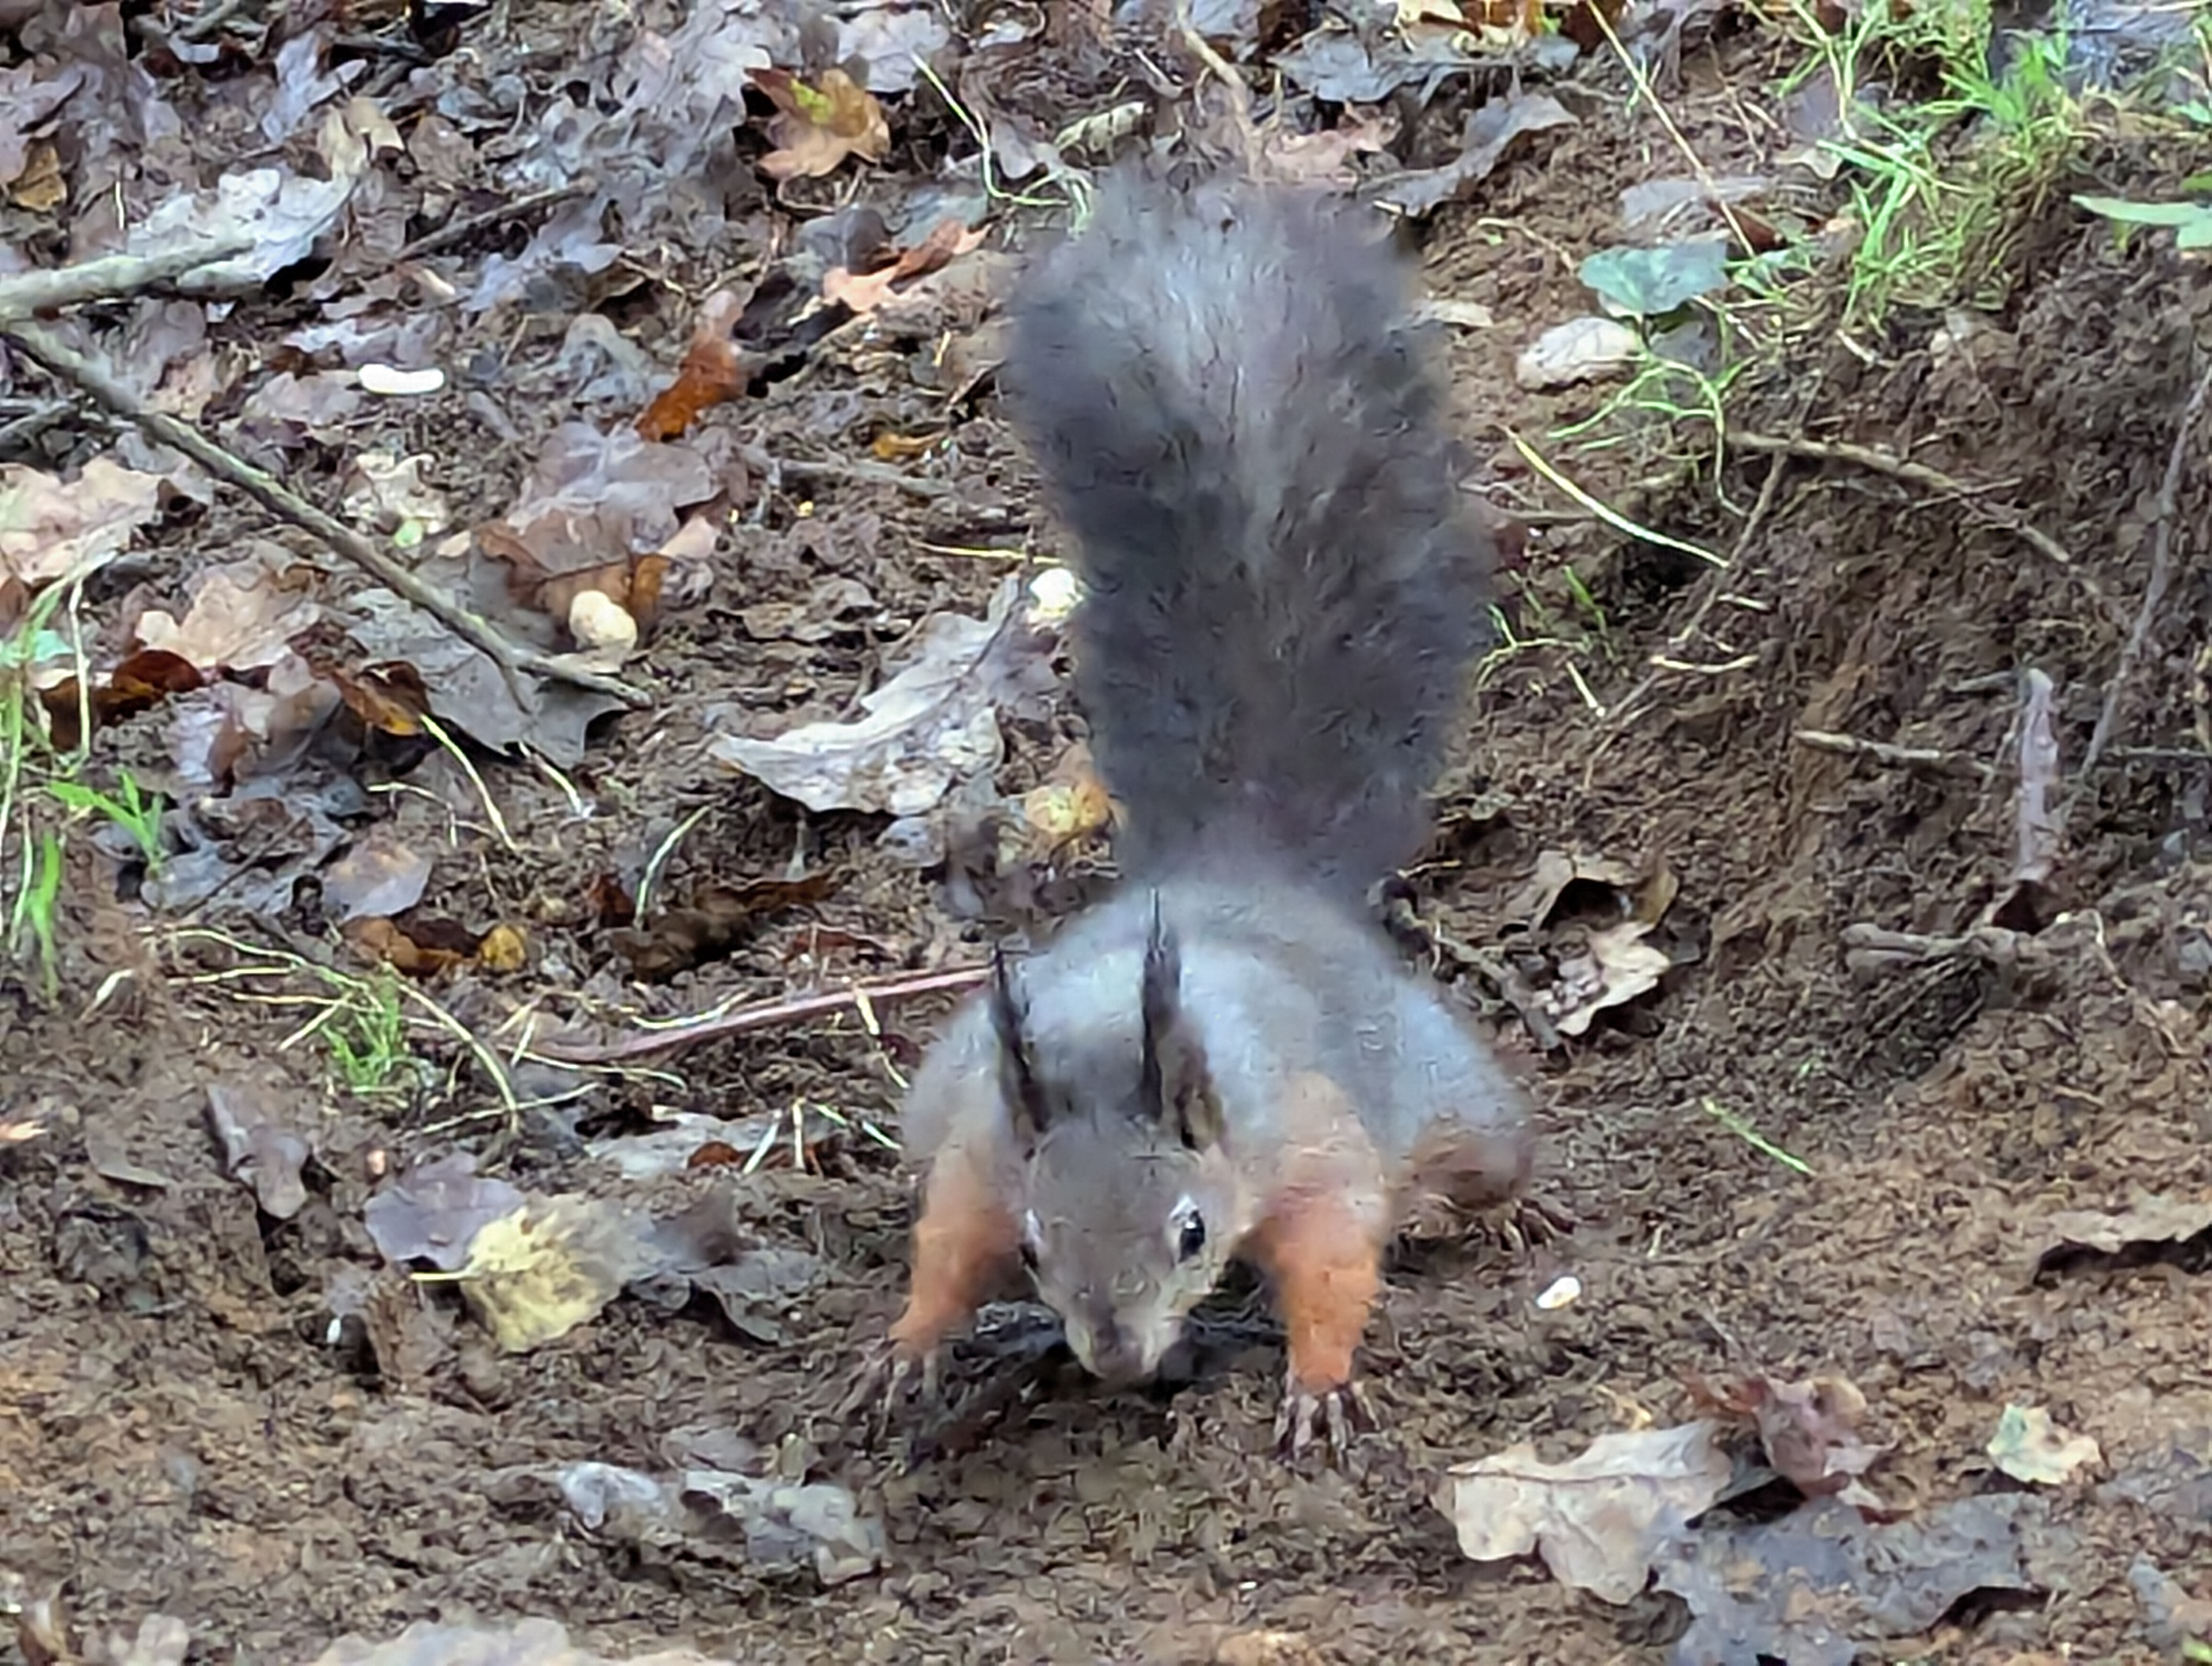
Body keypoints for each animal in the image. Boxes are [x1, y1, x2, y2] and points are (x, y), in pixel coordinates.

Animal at [866, 165, 1543, 1459]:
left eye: (1189, 1231)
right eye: (1039, 1247)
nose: (1117, 1356)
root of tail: (1241, 872)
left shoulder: (1312, 1142)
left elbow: (1335, 1256)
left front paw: (1320, 1382)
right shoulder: (982, 1149)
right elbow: (946, 1243)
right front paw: (913, 1343)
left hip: (1450, 1090)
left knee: (1484, 1150)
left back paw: (1500, 1212)